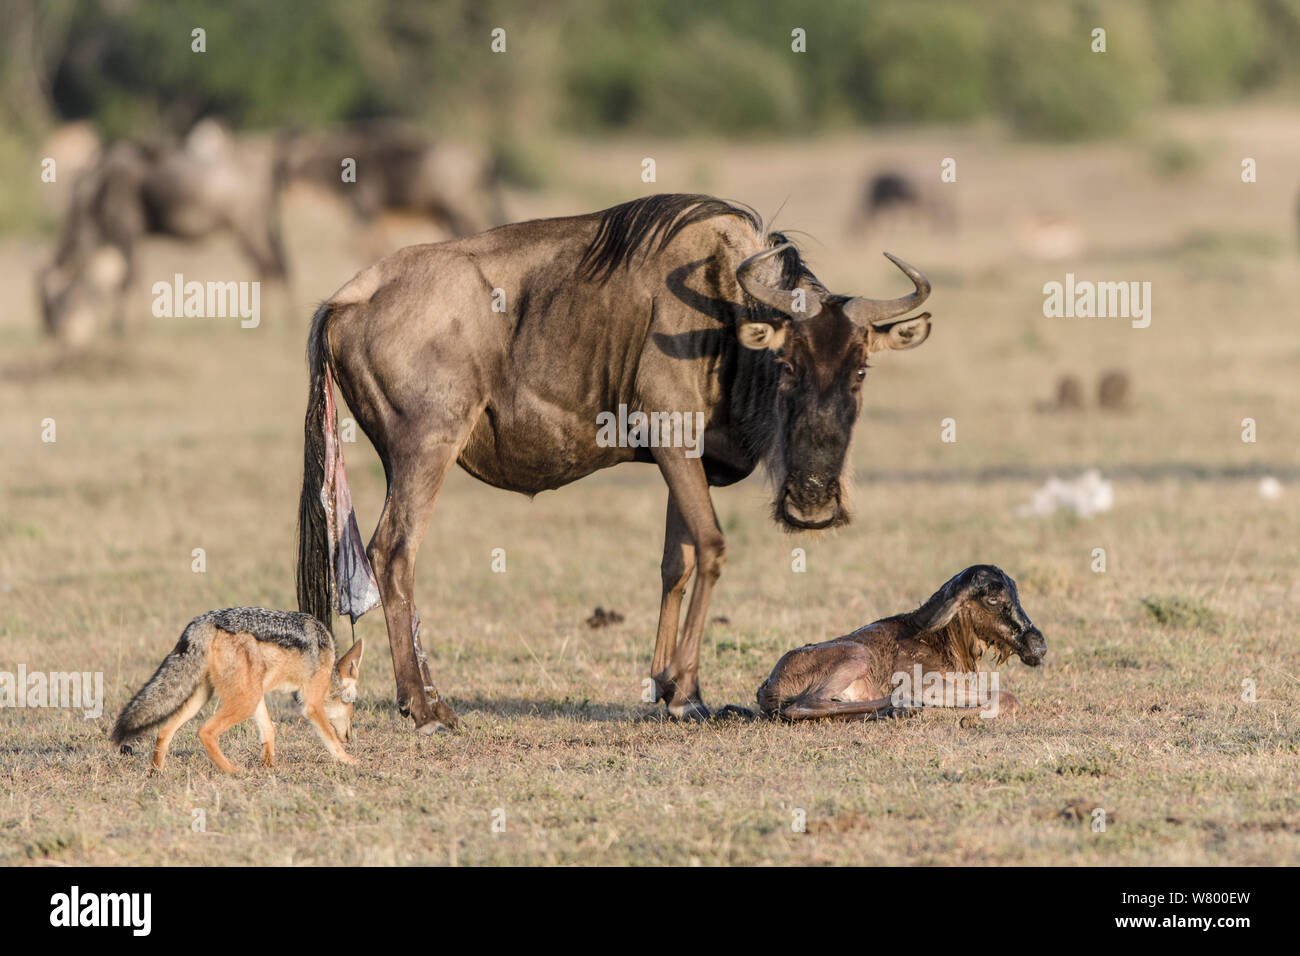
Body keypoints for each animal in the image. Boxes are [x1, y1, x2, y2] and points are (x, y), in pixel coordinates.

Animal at [754, 567, 1045, 717]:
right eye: (992, 599)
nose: (1038, 646)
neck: (938, 639)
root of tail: (769, 685)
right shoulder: (926, 683)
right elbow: (1006, 696)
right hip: (858, 655)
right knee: (803, 705)